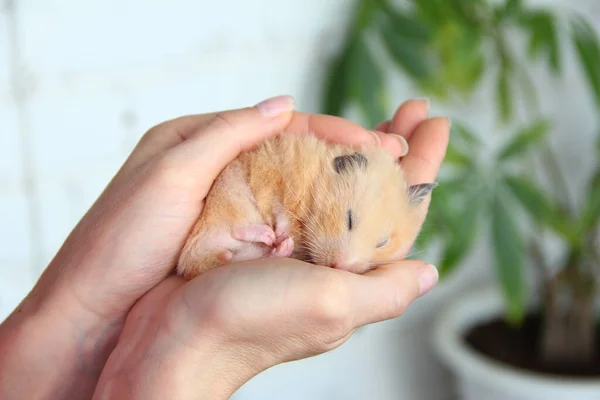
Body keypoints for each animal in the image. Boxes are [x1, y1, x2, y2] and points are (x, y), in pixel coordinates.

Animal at [177, 133, 436, 280]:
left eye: (382, 243)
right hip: (229, 195)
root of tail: (188, 264)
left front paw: (284, 239)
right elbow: (279, 208)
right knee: (236, 229)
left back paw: (279, 246)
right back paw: (269, 235)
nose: (340, 267)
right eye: (349, 219)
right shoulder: (275, 178)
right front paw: (281, 232)